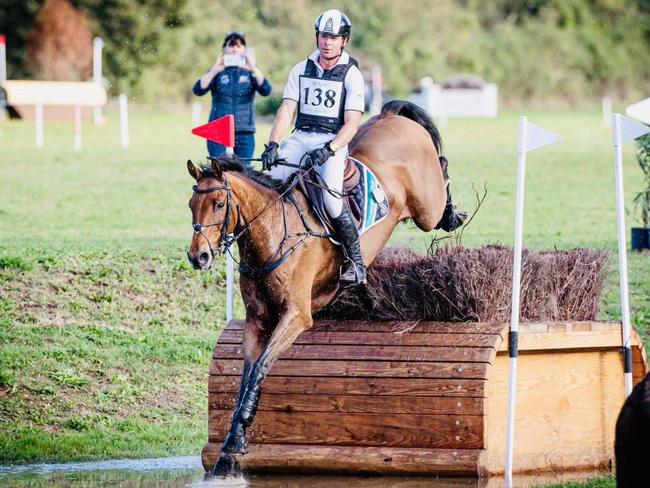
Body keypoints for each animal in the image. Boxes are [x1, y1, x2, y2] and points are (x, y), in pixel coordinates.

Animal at [186, 99, 460, 476]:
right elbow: (247, 376)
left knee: (442, 175)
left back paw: (453, 212)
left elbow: (261, 368)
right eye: (191, 205)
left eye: (219, 204)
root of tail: (392, 116)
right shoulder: (257, 321)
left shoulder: (296, 316)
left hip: (426, 209)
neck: (273, 233)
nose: (197, 256)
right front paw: (230, 448)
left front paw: (236, 441)